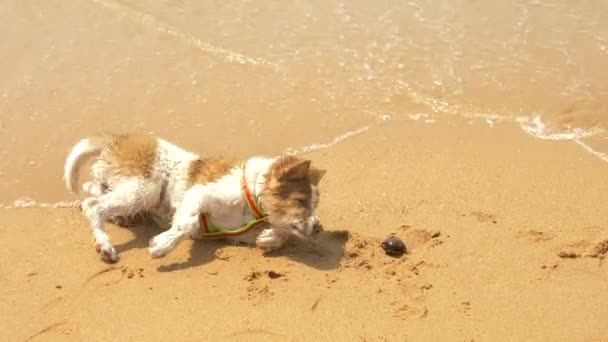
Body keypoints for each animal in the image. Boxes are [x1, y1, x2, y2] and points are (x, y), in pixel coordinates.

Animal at [64, 133, 326, 262]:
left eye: (314, 204)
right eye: (300, 201)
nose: (318, 228)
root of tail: (116, 140)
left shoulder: (237, 233)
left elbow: (281, 234)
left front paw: (269, 237)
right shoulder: (199, 194)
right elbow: (186, 224)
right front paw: (162, 245)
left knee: (91, 190)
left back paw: (121, 219)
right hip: (144, 189)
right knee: (92, 204)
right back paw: (104, 245)